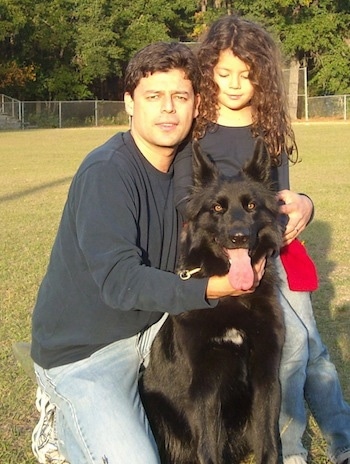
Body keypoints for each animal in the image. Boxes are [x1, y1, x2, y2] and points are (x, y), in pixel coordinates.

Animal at [139, 140, 284, 464]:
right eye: (217, 208)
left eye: (251, 206)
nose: (238, 237)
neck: (234, 301)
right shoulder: (205, 388)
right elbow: (208, 449)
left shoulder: (267, 377)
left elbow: (269, 445)